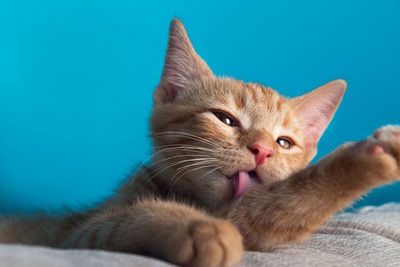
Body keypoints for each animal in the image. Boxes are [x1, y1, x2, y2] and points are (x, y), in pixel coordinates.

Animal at [0, 18, 400, 267]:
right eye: (225, 119)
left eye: (284, 143)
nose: (263, 150)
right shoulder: (80, 234)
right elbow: (130, 216)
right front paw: (196, 227)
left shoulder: (252, 222)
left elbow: (276, 207)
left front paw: (363, 160)